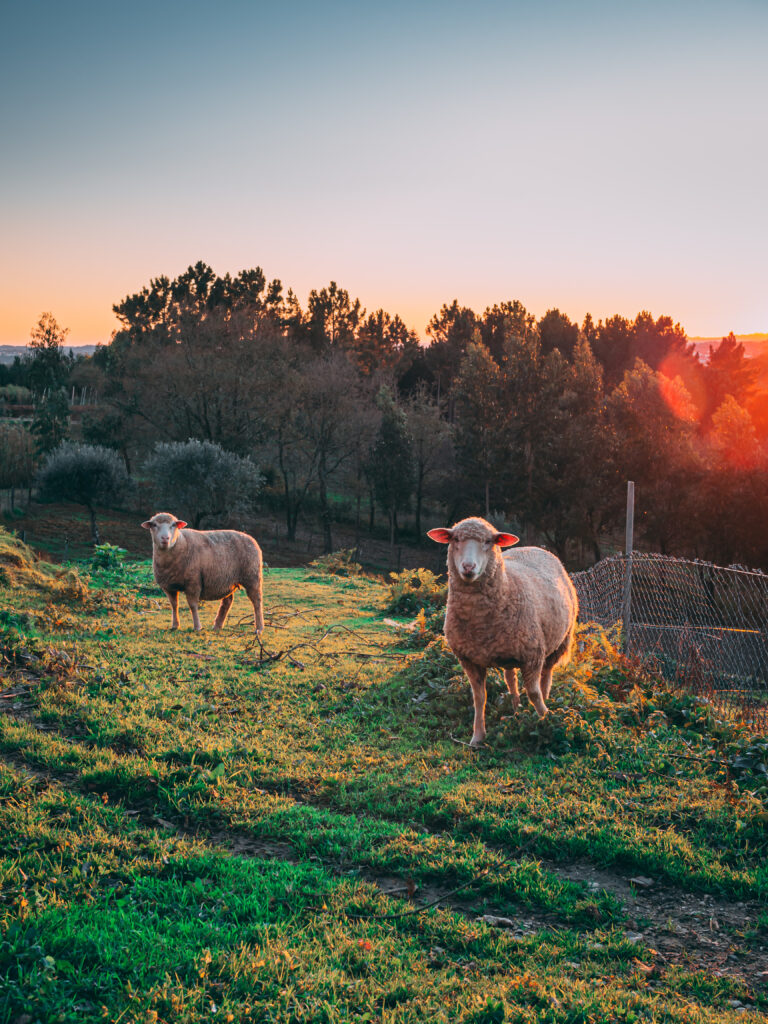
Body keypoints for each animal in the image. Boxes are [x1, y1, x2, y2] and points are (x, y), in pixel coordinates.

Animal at [428, 517, 578, 746]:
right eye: (455, 539)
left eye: (488, 541)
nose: (468, 567)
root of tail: (537, 547)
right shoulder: (468, 660)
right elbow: (479, 698)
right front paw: (477, 737)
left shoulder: (533, 654)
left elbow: (533, 693)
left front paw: (546, 718)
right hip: (509, 651)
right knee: (510, 678)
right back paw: (515, 708)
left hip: (560, 641)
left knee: (546, 675)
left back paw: (545, 700)